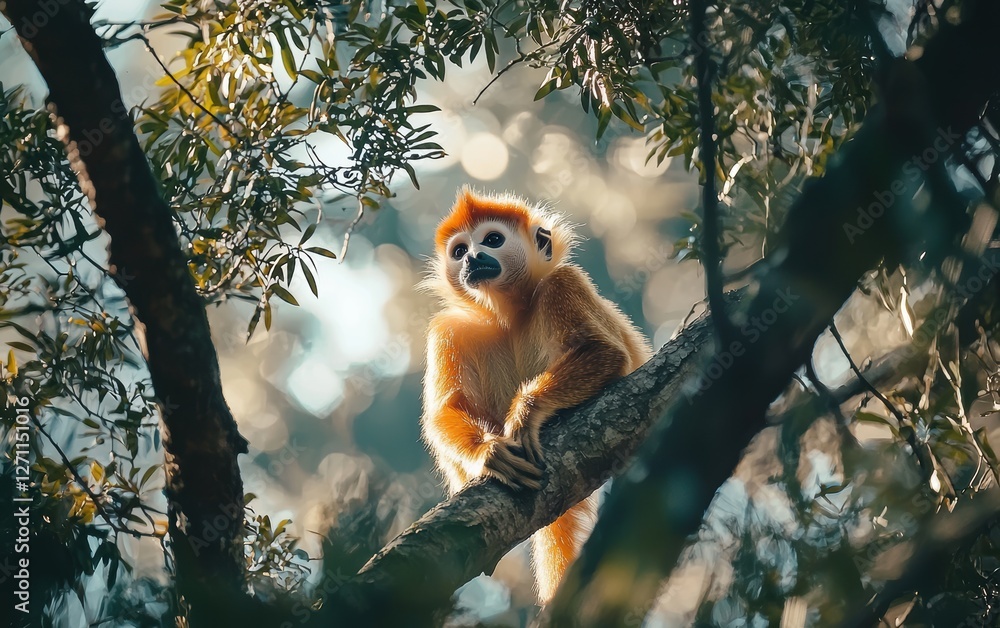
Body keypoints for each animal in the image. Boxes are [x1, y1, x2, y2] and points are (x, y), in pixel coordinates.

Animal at [421, 187, 651, 603]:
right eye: (459, 250)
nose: (473, 258)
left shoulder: (562, 281)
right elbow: (445, 411)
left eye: (492, 240)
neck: (509, 313)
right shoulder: (449, 328)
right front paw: (487, 451)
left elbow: (605, 352)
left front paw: (526, 412)